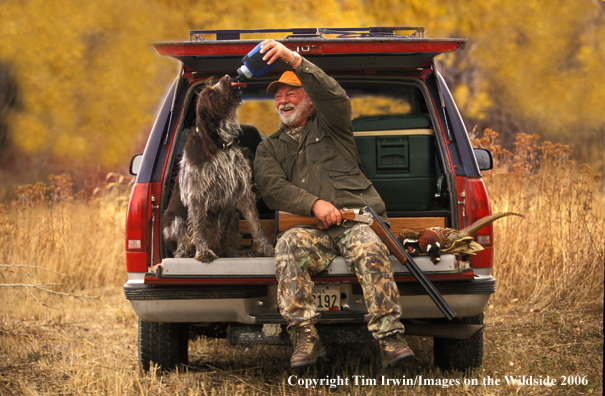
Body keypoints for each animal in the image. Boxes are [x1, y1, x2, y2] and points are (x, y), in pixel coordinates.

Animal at [162, 74, 272, 262]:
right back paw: (186, 253)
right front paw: (203, 252)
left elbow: (256, 224)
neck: (220, 143)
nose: (227, 77)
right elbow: (198, 227)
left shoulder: (243, 191)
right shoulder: (196, 194)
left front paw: (267, 248)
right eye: (211, 93)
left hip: (233, 216)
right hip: (174, 219)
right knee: (180, 243)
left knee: (228, 249)